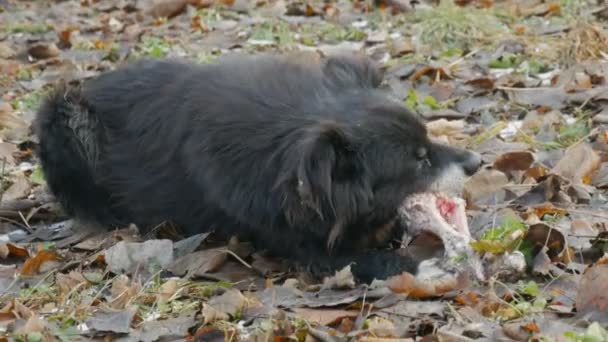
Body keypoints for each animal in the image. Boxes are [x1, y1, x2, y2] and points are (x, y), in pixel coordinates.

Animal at [35, 53, 482, 282]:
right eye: (419, 160)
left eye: (428, 140)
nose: (478, 163)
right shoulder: (271, 215)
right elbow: (337, 256)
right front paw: (429, 265)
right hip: (64, 121)